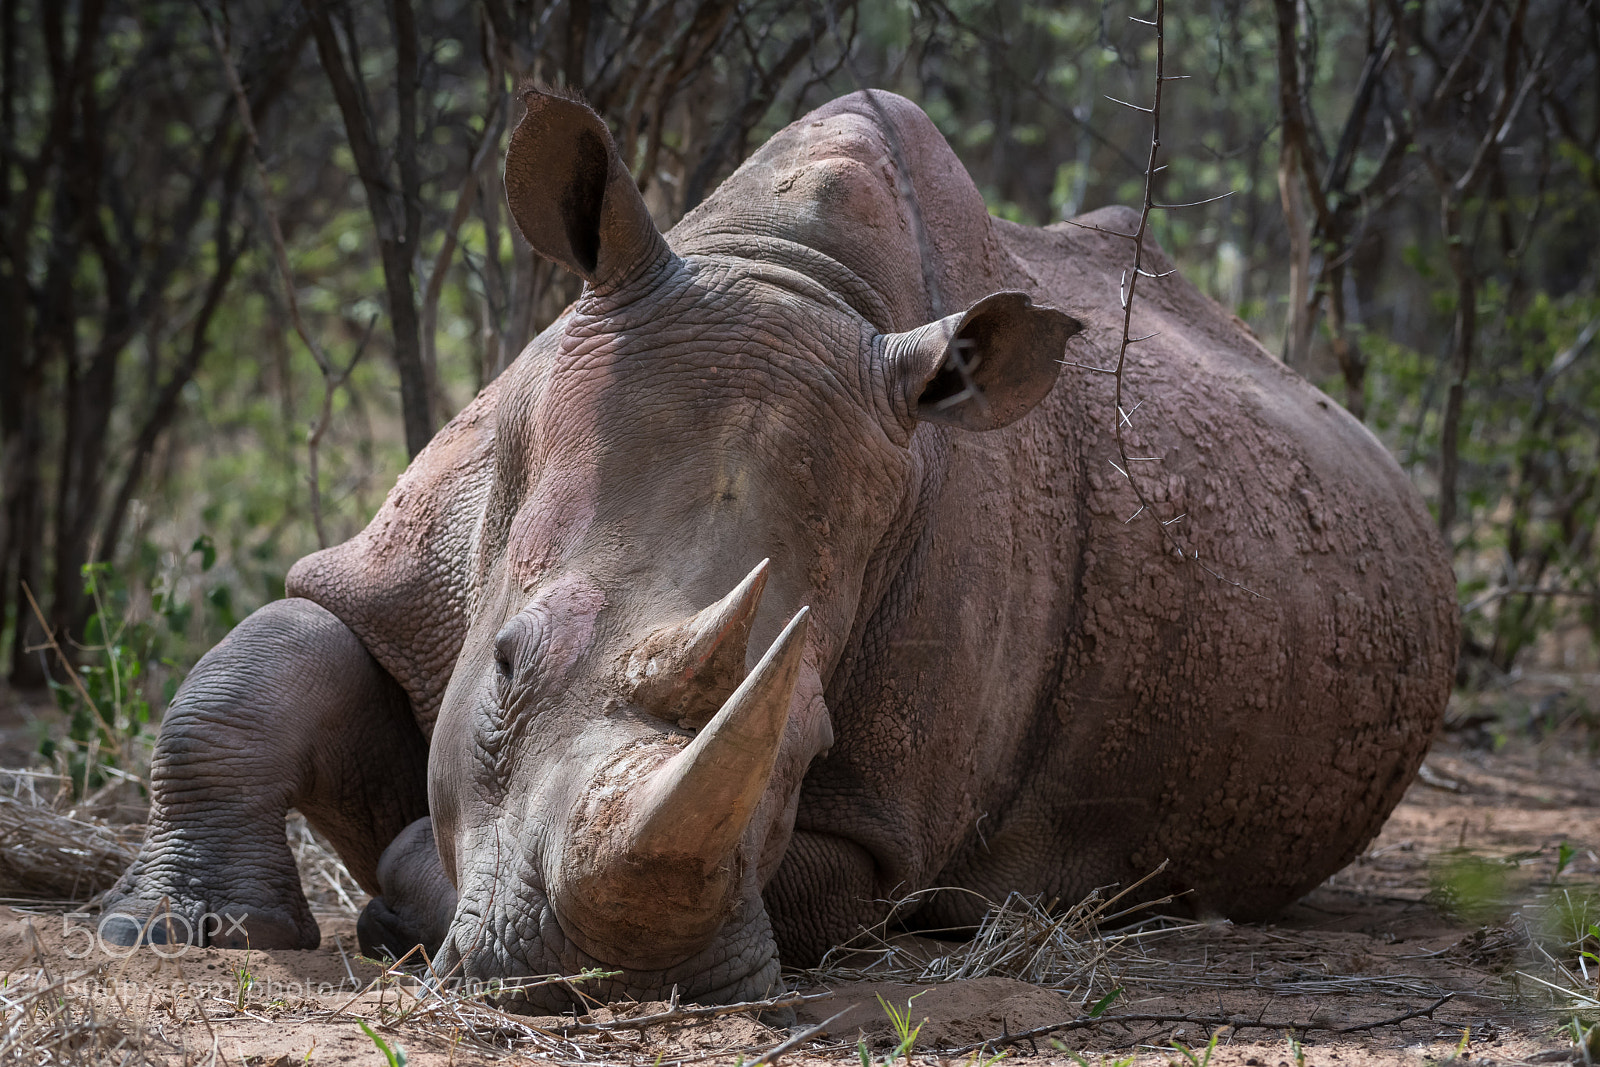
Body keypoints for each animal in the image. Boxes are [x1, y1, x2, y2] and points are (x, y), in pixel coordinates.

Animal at [104, 88, 1457, 1011]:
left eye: (805, 742)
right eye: (505, 663)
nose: (598, 976)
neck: (783, 275)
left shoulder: (882, 826)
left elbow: (820, 879)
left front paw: (399, 895)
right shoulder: (410, 558)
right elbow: (254, 667)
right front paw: (174, 934)